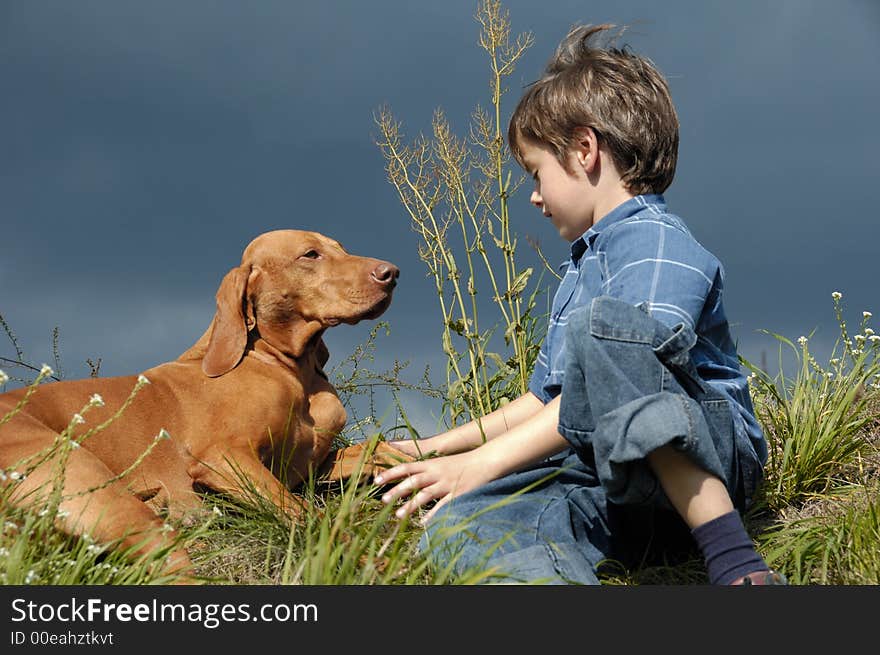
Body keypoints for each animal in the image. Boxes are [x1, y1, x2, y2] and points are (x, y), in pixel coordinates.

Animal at [0, 231, 412, 580]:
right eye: (310, 254)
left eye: (341, 248)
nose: (392, 274)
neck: (290, 370)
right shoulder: (224, 458)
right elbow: (308, 513)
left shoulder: (311, 468)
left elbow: (381, 450)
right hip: (107, 498)